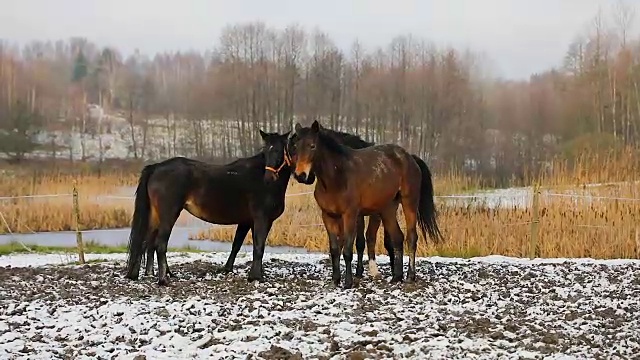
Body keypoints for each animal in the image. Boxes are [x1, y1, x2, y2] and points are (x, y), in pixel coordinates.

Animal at [124, 128, 292, 286]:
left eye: (278, 150)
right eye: (265, 150)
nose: (269, 178)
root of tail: (156, 167)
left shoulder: (247, 221)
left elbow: (237, 244)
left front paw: (230, 270)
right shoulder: (261, 219)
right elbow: (258, 246)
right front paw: (256, 277)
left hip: (155, 215)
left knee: (147, 242)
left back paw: (148, 274)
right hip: (169, 215)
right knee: (160, 244)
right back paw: (163, 279)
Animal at [292, 119, 442, 288]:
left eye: (312, 146)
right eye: (296, 146)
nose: (301, 175)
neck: (337, 178)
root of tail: (409, 157)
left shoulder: (350, 215)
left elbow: (348, 249)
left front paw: (348, 282)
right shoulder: (328, 216)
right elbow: (335, 249)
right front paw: (335, 280)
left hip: (409, 202)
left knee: (411, 237)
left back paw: (410, 276)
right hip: (388, 208)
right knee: (397, 237)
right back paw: (396, 277)